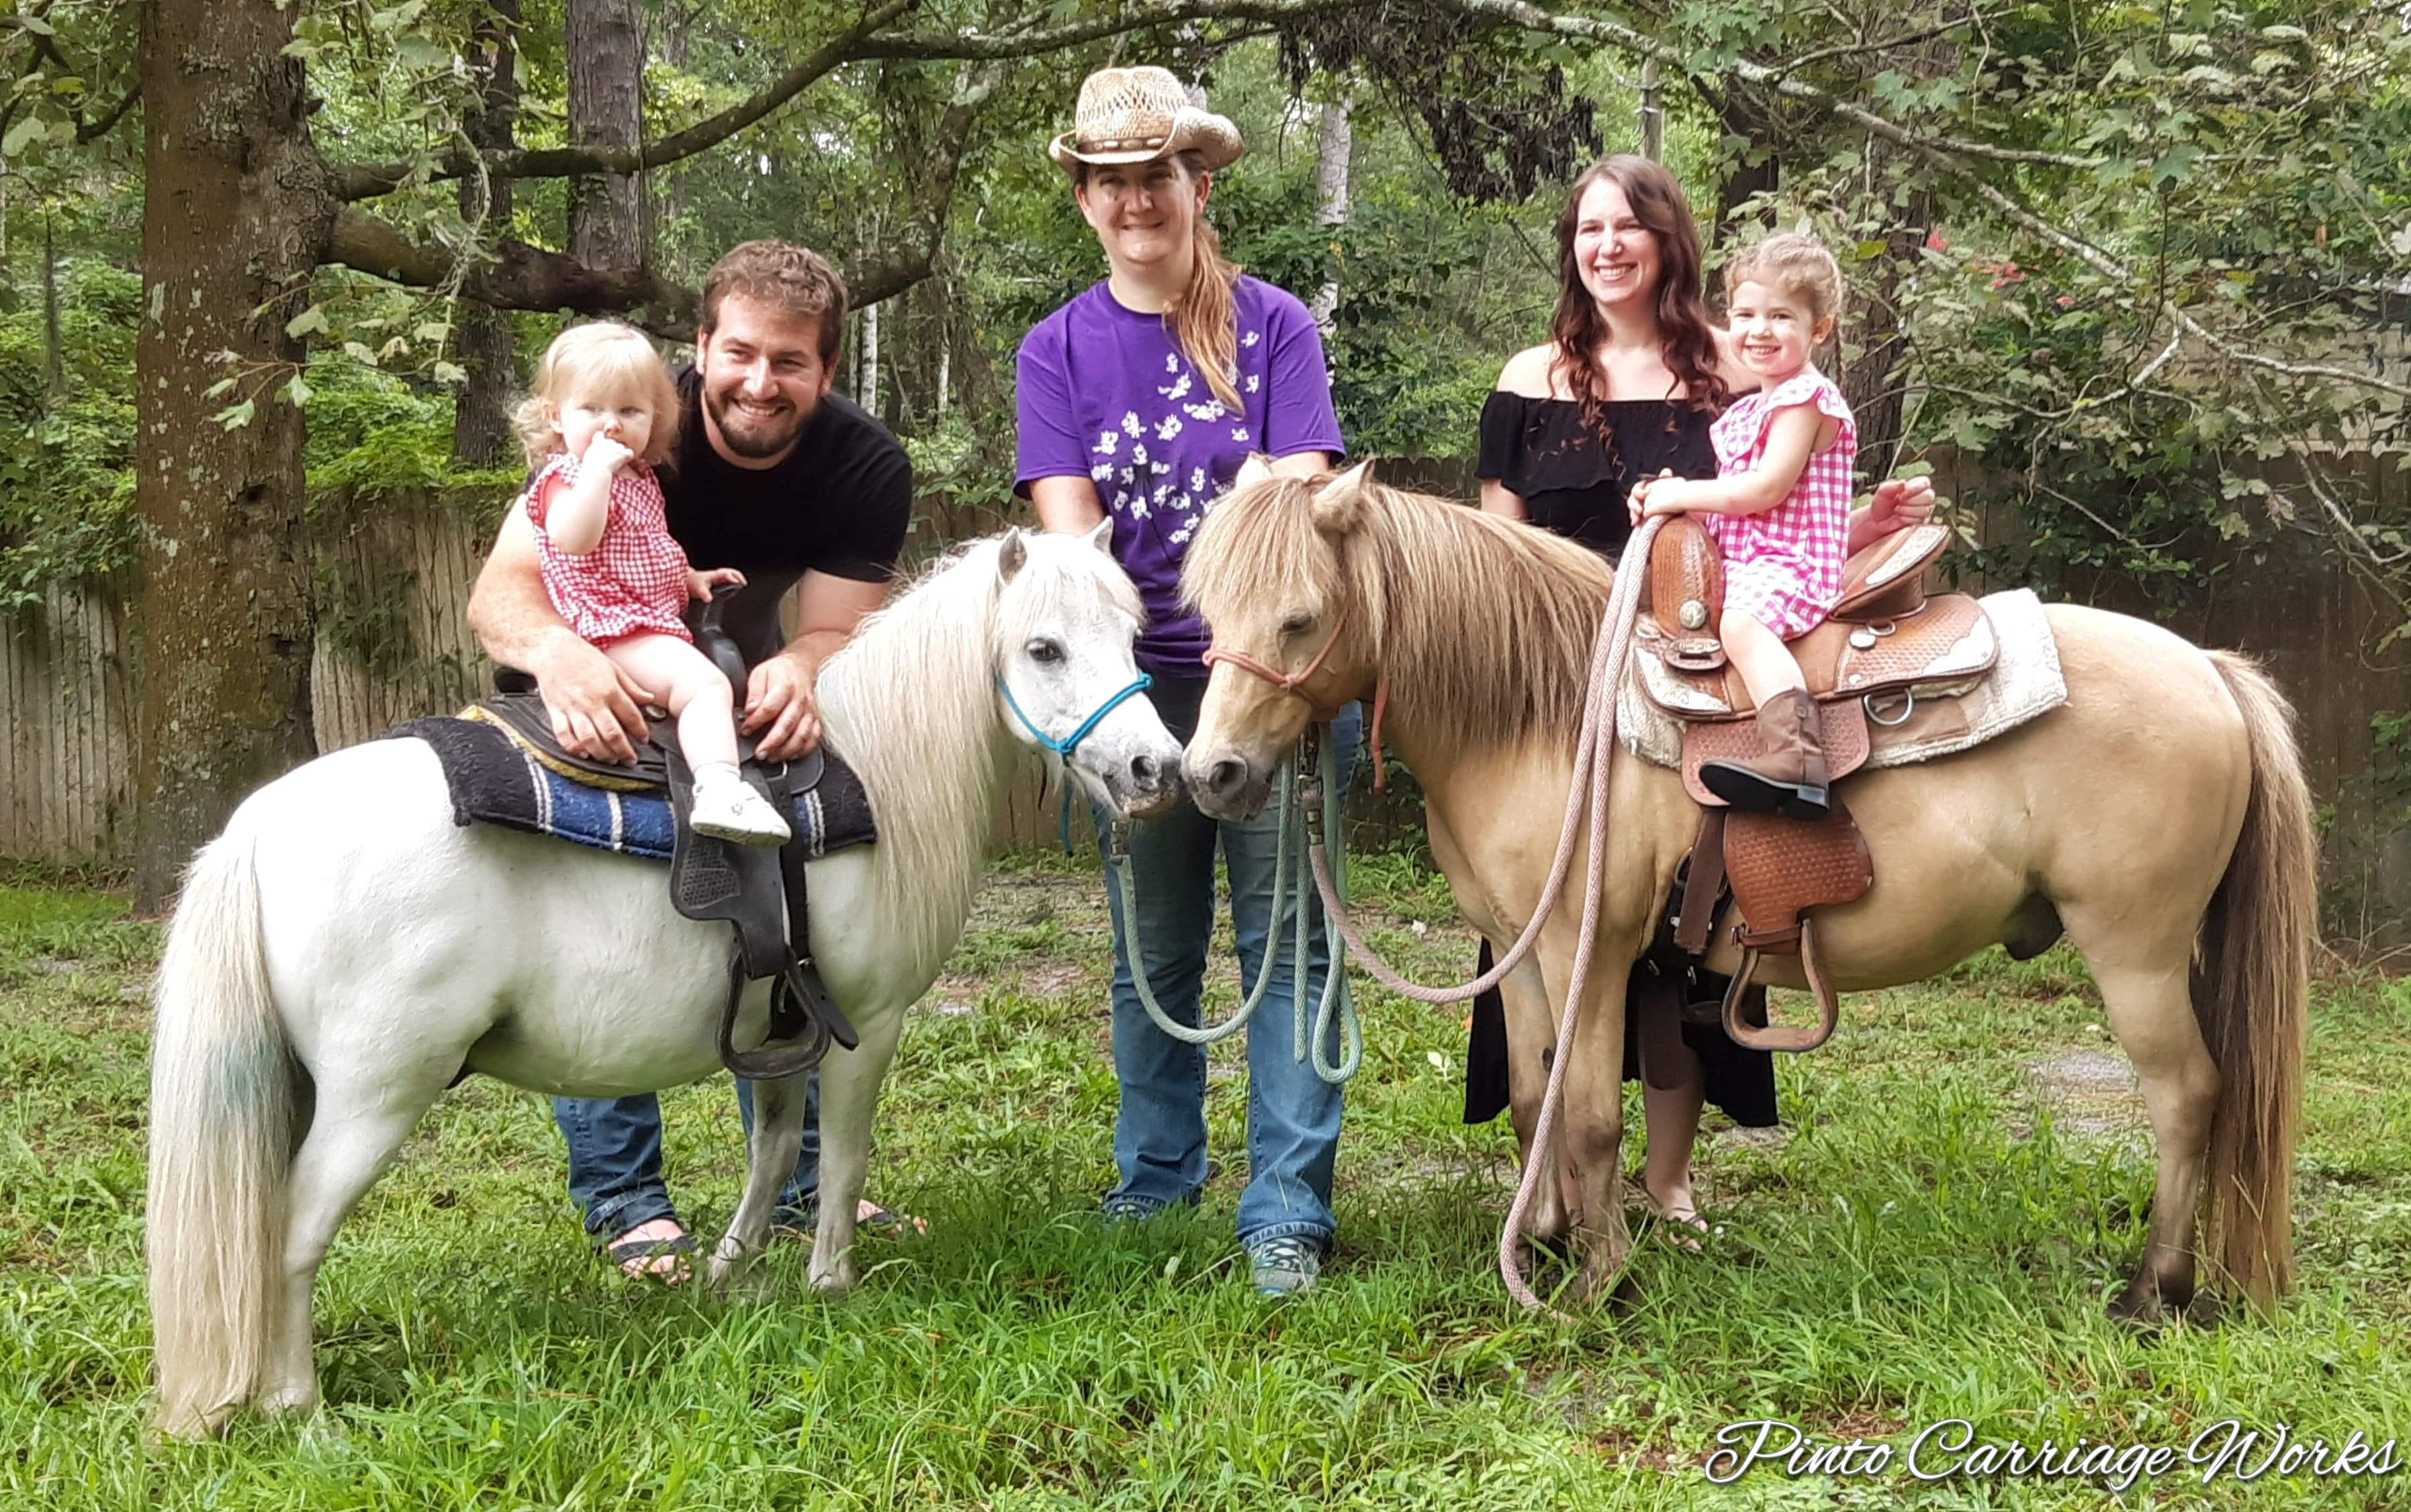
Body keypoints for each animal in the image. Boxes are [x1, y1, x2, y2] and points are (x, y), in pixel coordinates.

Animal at [146, 525, 1181, 1437]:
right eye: (1042, 648)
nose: (1154, 766)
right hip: (374, 1094)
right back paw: (296, 1403)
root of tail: (258, 830)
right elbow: (842, 1157)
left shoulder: (779, 1028)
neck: (877, 781)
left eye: (1129, 634)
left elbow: (772, 1151)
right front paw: (831, 1285)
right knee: (289, 1234)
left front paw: (731, 1275)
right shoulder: (867, 1023)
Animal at [1186, 467, 2314, 1321]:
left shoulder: (1590, 949)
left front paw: (1596, 1282)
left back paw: (2154, 1289)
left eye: (1299, 619)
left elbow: (1588, 1115)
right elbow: (1529, 1101)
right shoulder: (1518, 950)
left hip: (2135, 950)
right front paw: (1540, 1245)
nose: (1213, 774)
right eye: (1204, 612)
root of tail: (2209, 671)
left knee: (2187, 1096)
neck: (1545, 717)